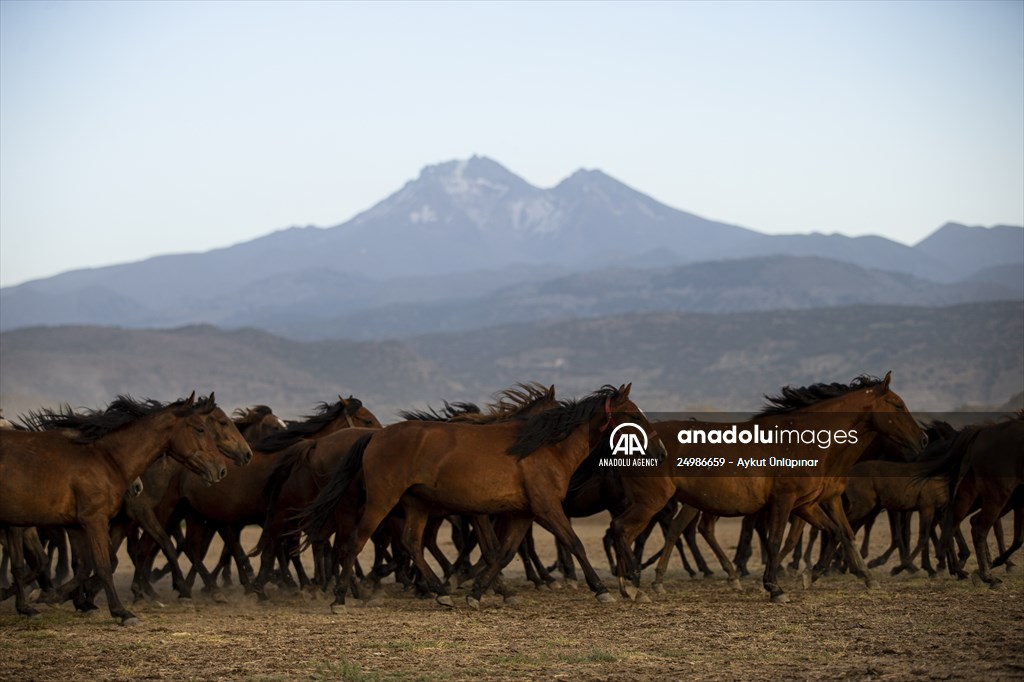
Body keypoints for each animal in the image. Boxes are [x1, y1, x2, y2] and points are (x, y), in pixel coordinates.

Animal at [0, 393, 239, 624]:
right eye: (201, 429)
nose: (222, 470)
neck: (106, 458)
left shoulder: (81, 525)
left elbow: (86, 566)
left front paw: (55, 597)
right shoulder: (96, 520)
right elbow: (104, 566)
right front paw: (122, 612)